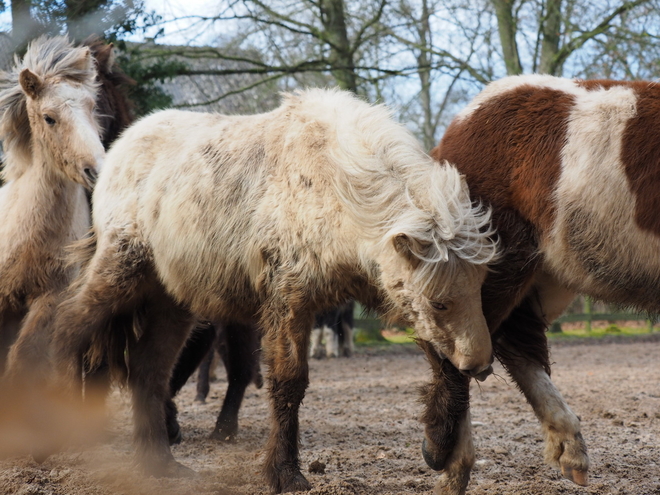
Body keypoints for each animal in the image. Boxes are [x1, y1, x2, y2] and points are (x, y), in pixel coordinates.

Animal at [50, 88, 496, 492]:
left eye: (479, 289)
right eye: (440, 302)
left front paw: (438, 446)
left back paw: (159, 463)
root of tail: (117, 151)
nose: (483, 367)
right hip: (120, 271)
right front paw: (285, 474)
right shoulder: (290, 301)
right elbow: (288, 384)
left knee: (149, 371)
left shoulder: (384, 295)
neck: (334, 184)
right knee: (68, 325)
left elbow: (444, 364)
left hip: (170, 302)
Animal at [422, 74, 660, 495]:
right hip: (490, 265)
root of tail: (459, 126)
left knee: (509, 343)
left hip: (544, 272)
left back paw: (569, 447)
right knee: (457, 348)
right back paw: (447, 460)